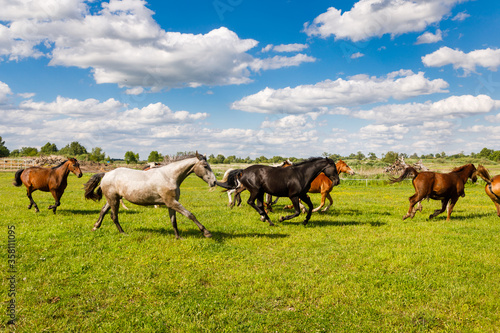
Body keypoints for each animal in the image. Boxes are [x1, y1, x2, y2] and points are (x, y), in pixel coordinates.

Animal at [84, 153, 217, 239]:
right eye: (205, 166)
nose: (214, 182)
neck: (169, 176)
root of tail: (106, 174)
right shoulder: (172, 202)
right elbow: (190, 215)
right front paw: (207, 233)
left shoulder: (171, 204)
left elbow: (174, 221)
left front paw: (178, 237)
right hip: (114, 200)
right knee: (113, 216)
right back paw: (123, 233)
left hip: (113, 199)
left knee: (103, 211)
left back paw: (95, 227)